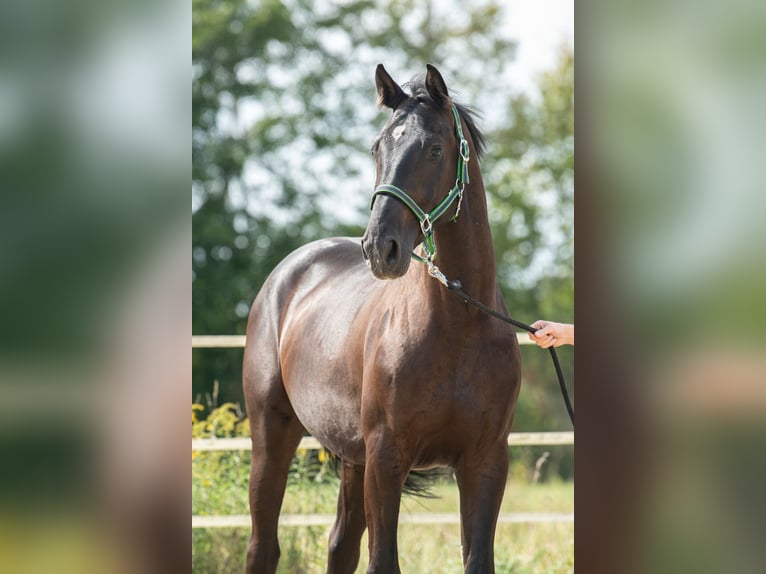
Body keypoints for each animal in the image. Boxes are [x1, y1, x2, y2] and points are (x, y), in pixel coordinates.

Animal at [243, 64, 522, 574]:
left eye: (435, 149)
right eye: (378, 147)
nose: (379, 247)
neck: (457, 328)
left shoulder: (485, 462)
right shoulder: (386, 458)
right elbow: (383, 560)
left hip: (353, 460)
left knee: (339, 547)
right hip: (273, 435)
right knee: (263, 546)